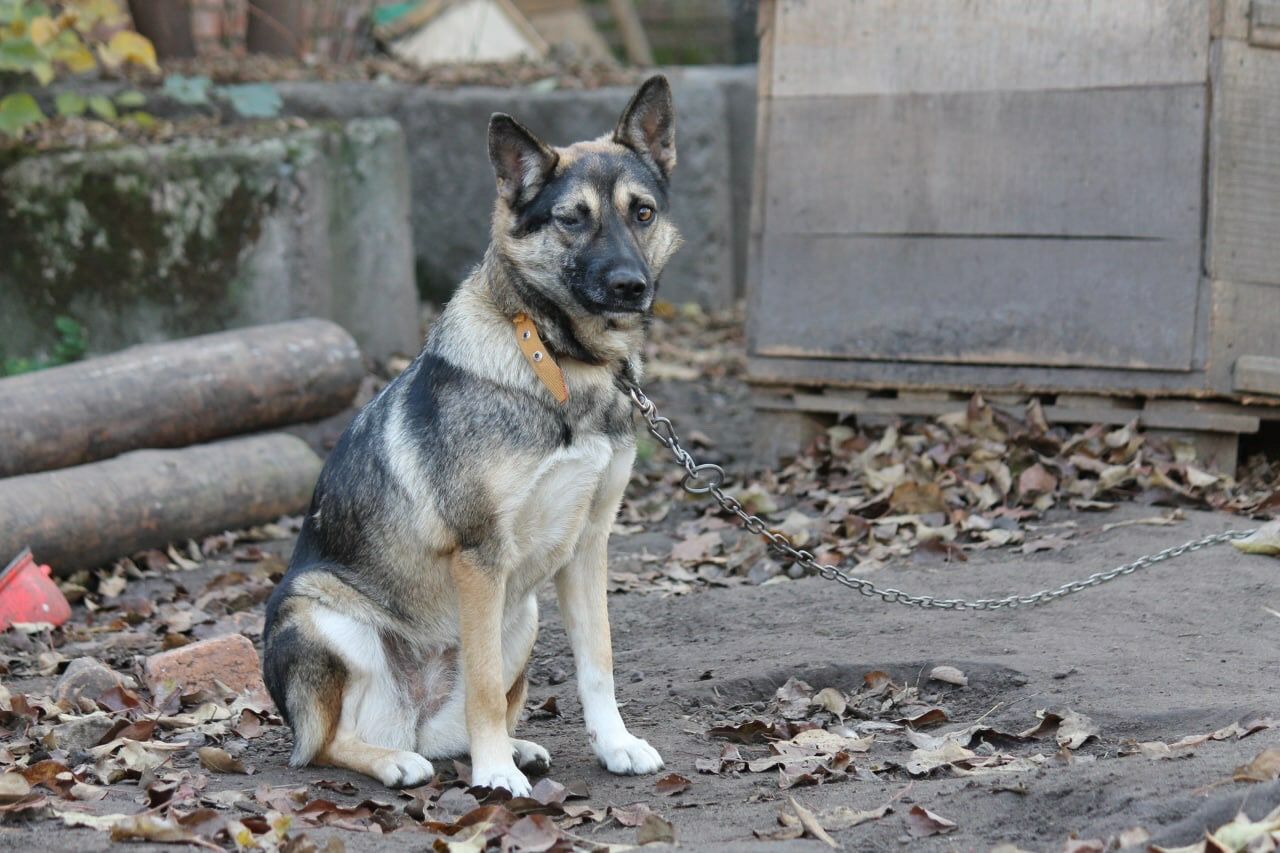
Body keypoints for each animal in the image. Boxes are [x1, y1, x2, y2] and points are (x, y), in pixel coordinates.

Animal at [258, 76, 680, 794]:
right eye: (572, 218)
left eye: (642, 212)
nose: (632, 286)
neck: (560, 361)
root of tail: (412, 719)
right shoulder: (480, 558)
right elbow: (483, 684)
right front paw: (495, 775)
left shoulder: (588, 546)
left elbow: (597, 661)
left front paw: (614, 744)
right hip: (316, 614)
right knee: (323, 744)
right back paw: (399, 760)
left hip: (525, 614)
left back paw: (511, 745)